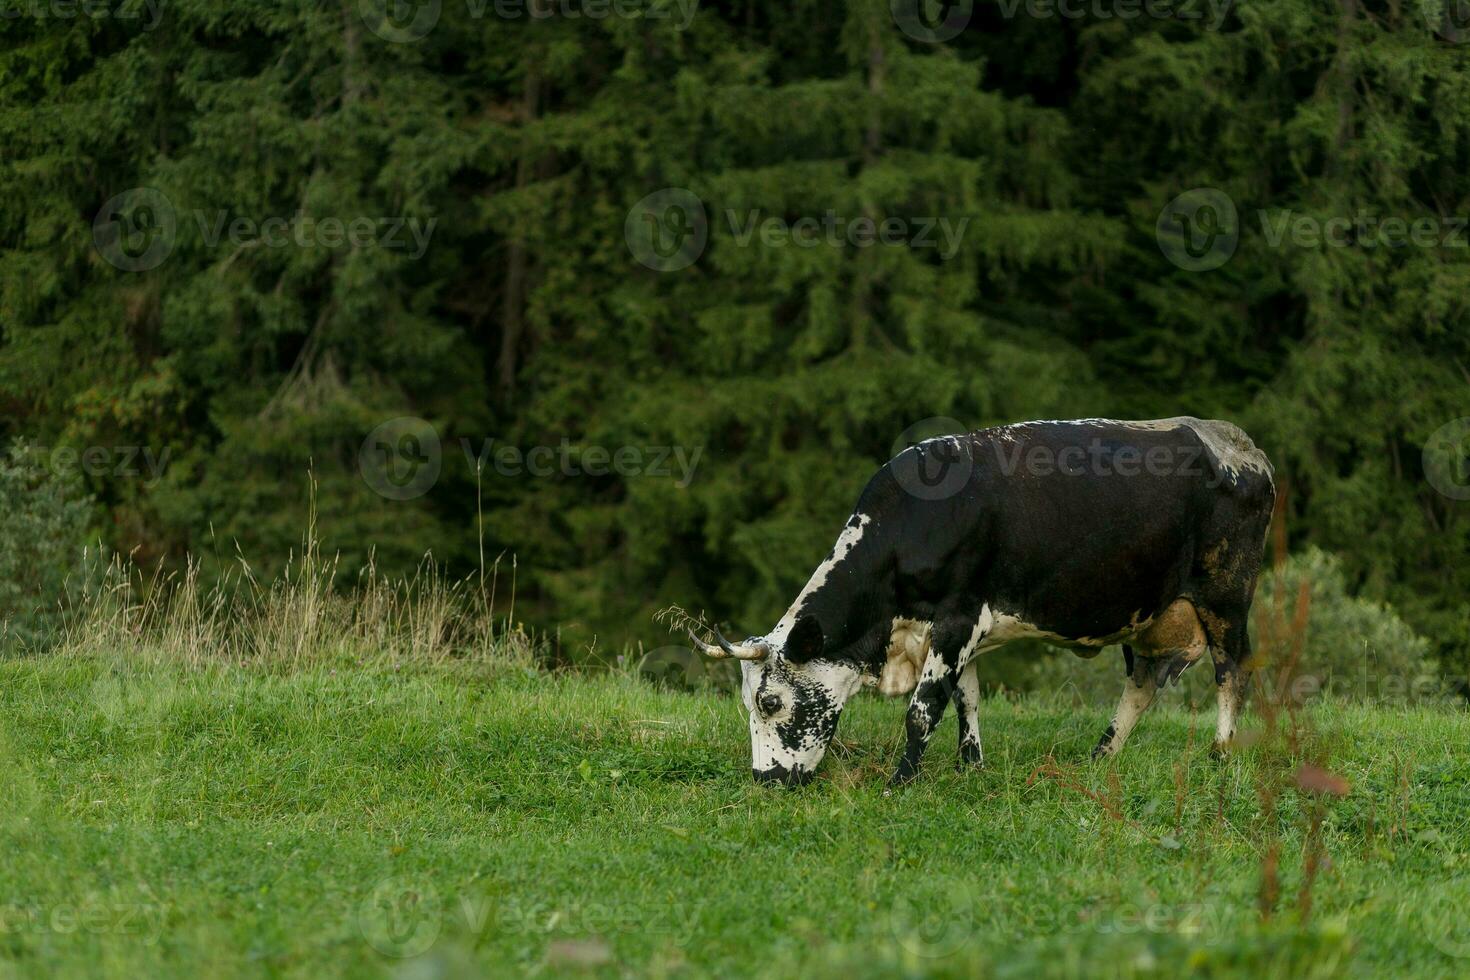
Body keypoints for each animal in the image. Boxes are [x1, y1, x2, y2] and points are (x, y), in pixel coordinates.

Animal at [687, 417, 1275, 787]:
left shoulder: (958, 615)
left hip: (1226, 595)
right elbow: (966, 697)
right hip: (1150, 617)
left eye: (770, 702)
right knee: (1143, 682)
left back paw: (1220, 752)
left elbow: (923, 709)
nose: (766, 780)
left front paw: (901, 781)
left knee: (1232, 670)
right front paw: (970, 765)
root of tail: (1237, 443)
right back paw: (1101, 756)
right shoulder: (955, 631)